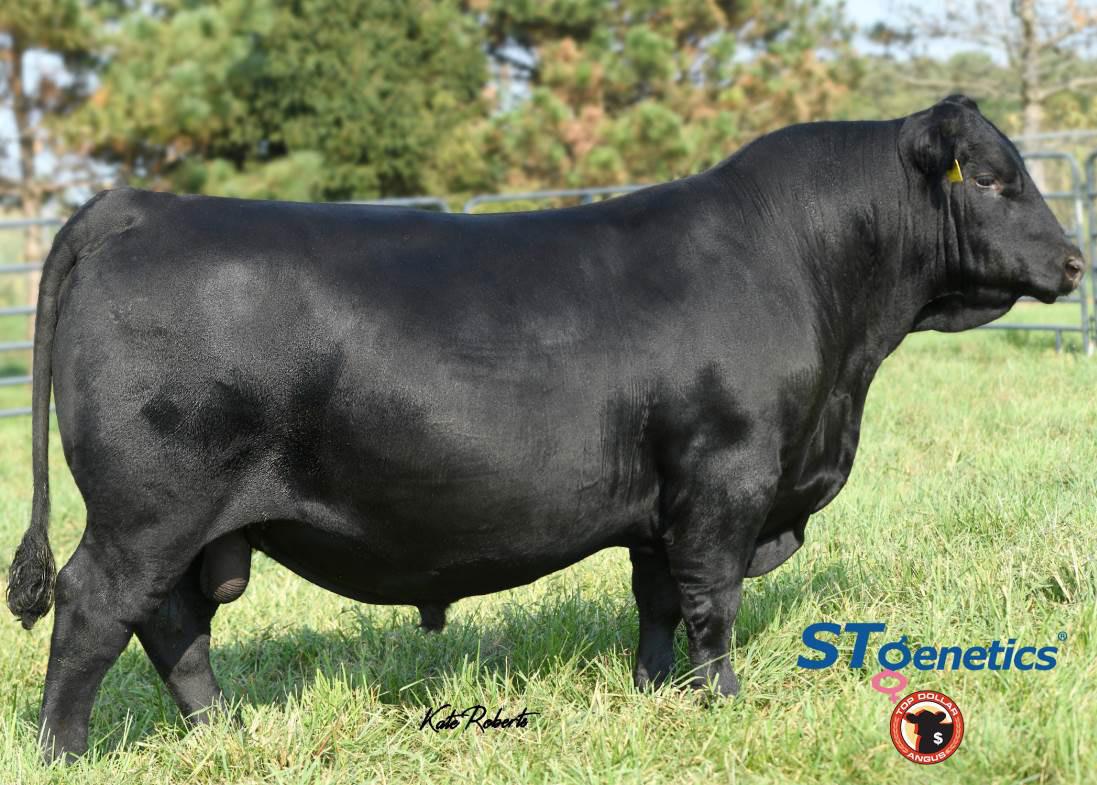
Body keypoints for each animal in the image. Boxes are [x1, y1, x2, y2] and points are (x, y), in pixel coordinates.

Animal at [5, 95, 1084, 762]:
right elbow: (712, 601)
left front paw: (655, 696)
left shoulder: (666, 498)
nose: (1073, 260)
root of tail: (135, 206)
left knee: (173, 621)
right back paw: (66, 752)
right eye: (993, 178)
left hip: (185, 521)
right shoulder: (725, 474)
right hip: (150, 505)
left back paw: (226, 734)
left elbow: (658, 600)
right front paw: (725, 705)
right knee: (97, 607)